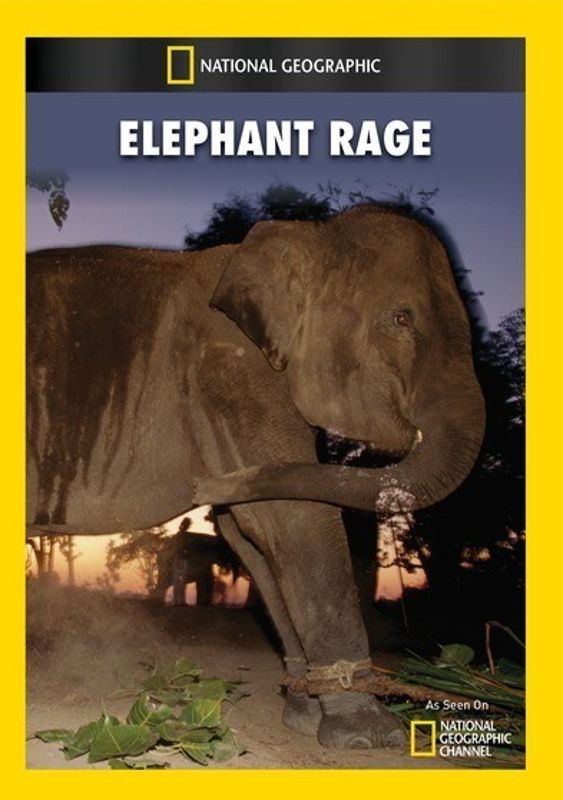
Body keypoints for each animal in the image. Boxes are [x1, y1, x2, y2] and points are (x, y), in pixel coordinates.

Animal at [27, 204, 485, 749]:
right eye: (401, 319)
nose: (201, 486)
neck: (307, 236)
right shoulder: (234, 369)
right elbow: (292, 520)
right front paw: (370, 736)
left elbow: (250, 532)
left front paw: (305, 713)